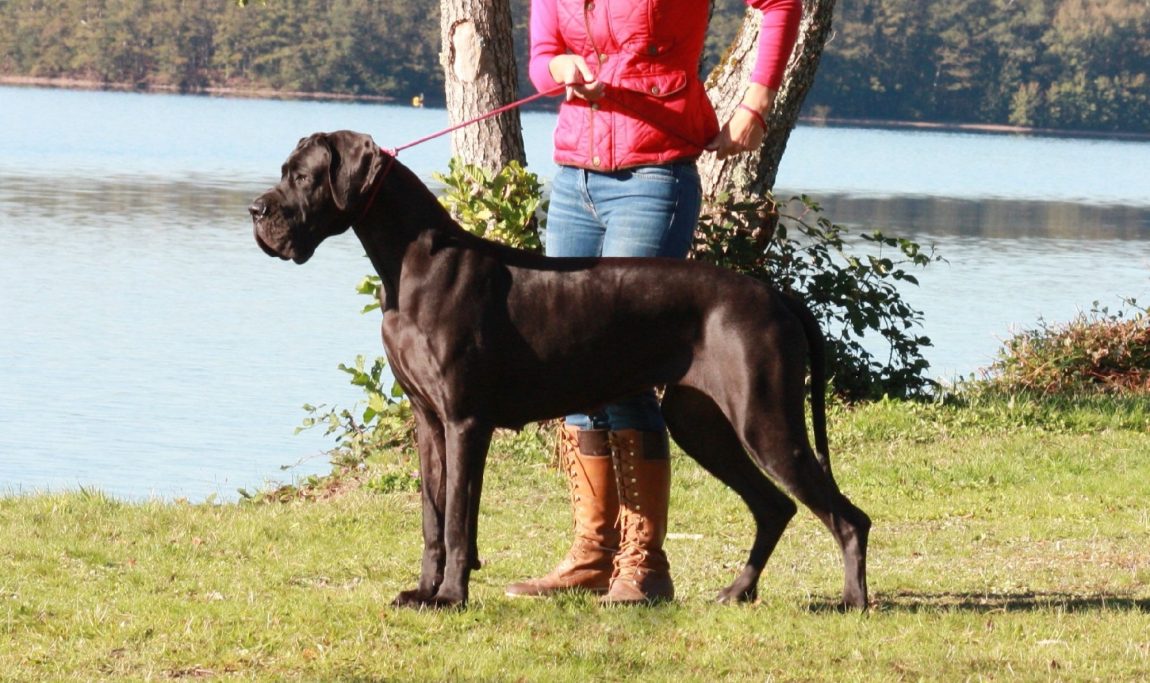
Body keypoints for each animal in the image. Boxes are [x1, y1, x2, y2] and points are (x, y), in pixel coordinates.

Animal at [247, 128, 864, 607]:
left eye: (302, 177)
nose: (257, 211)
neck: (412, 264)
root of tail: (774, 293)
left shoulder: (465, 422)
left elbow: (457, 518)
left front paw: (450, 597)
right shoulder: (429, 422)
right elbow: (432, 517)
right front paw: (423, 591)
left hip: (765, 421)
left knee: (846, 517)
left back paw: (851, 603)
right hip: (702, 423)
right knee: (775, 506)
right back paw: (738, 590)